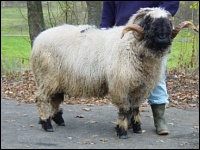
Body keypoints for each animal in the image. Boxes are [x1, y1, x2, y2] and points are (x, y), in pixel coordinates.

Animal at [30, 6, 199, 138]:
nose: (163, 38)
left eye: (168, 22)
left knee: (55, 99)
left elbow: (135, 108)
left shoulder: (141, 87)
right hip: (47, 77)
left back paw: (58, 120)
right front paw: (122, 131)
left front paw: (137, 128)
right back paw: (46, 124)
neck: (132, 45)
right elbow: (124, 109)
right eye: (148, 22)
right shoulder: (121, 85)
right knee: (41, 99)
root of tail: (38, 39)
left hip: (57, 79)